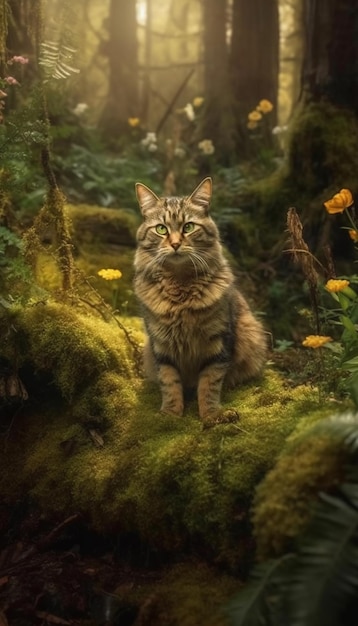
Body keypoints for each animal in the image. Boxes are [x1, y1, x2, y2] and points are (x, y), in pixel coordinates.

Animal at [133, 178, 268, 426]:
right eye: (161, 229)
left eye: (188, 227)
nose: (175, 244)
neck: (181, 289)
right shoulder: (161, 346)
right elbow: (169, 383)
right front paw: (170, 416)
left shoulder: (218, 342)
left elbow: (209, 384)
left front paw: (212, 416)